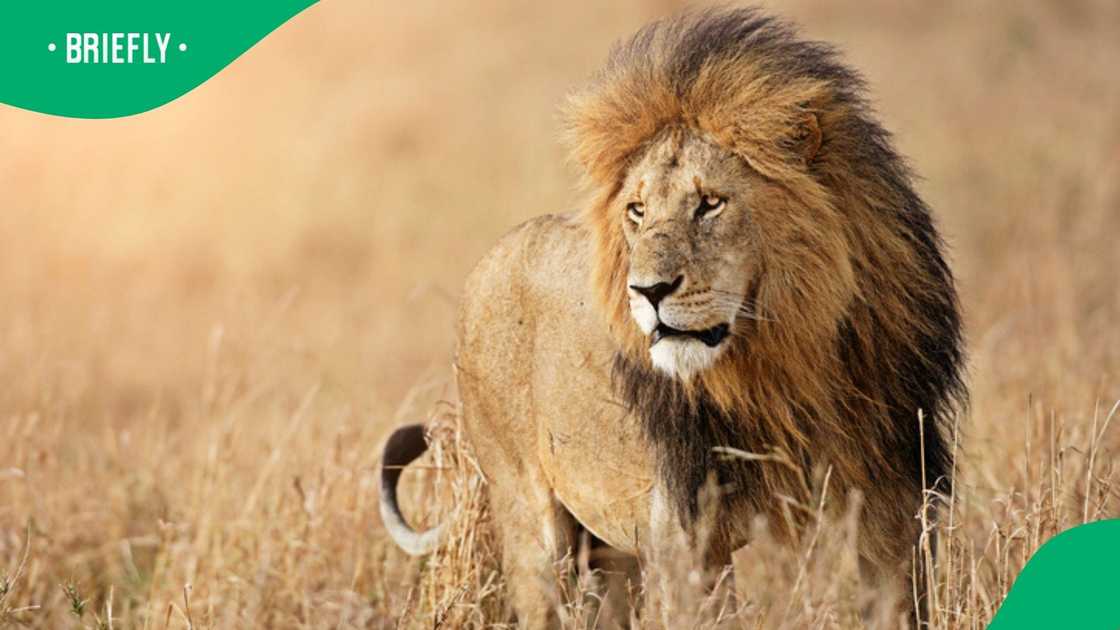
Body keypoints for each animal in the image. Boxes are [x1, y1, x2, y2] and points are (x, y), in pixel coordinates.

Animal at [380, 7, 966, 627]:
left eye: (710, 203)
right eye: (637, 210)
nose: (648, 290)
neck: (783, 368)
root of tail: (489, 259)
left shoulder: (891, 504)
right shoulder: (684, 536)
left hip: (612, 555)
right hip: (531, 523)